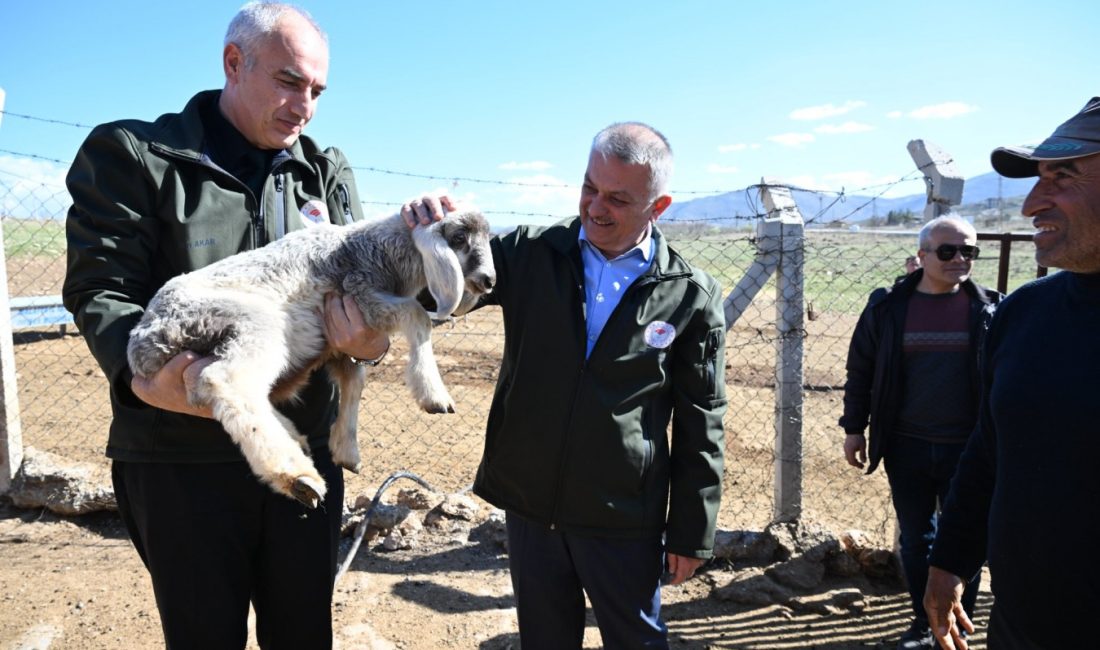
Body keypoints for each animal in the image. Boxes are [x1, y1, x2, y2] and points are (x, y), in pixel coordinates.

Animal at [123, 211, 495, 505]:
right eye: (459, 238)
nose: (489, 280)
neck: (370, 249)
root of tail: (142, 345)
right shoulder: (361, 295)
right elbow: (418, 315)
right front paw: (434, 394)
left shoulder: (339, 338)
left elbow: (355, 380)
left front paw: (346, 450)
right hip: (254, 323)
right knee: (225, 382)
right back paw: (296, 476)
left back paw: (294, 439)